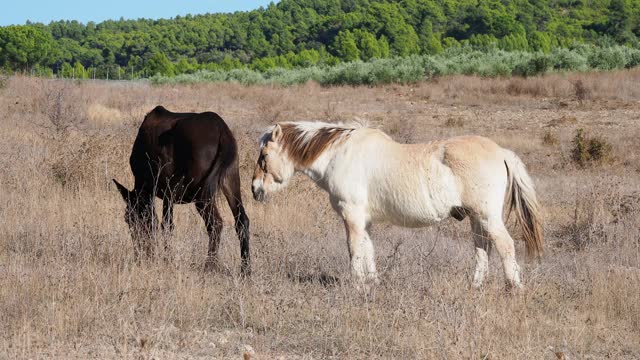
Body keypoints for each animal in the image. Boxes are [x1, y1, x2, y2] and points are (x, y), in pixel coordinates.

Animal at [114, 105, 249, 274]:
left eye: (129, 219)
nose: (141, 254)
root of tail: (223, 132)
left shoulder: (167, 189)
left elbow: (166, 224)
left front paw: (167, 260)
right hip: (230, 179)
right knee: (242, 221)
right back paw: (245, 269)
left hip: (202, 193)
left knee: (215, 223)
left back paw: (210, 265)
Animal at [252, 121, 544, 290]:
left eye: (264, 156)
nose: (255, 189)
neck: (340, 154)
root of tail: (501, 152)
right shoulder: (364, 220)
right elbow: (368, 249)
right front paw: (372, 282)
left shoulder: (351, 215)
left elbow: (354, 249)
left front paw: (356, 285)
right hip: (476, 219)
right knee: (483, 250)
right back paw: (476, 286)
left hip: (487, 217)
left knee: (505, 246)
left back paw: (513, 288)